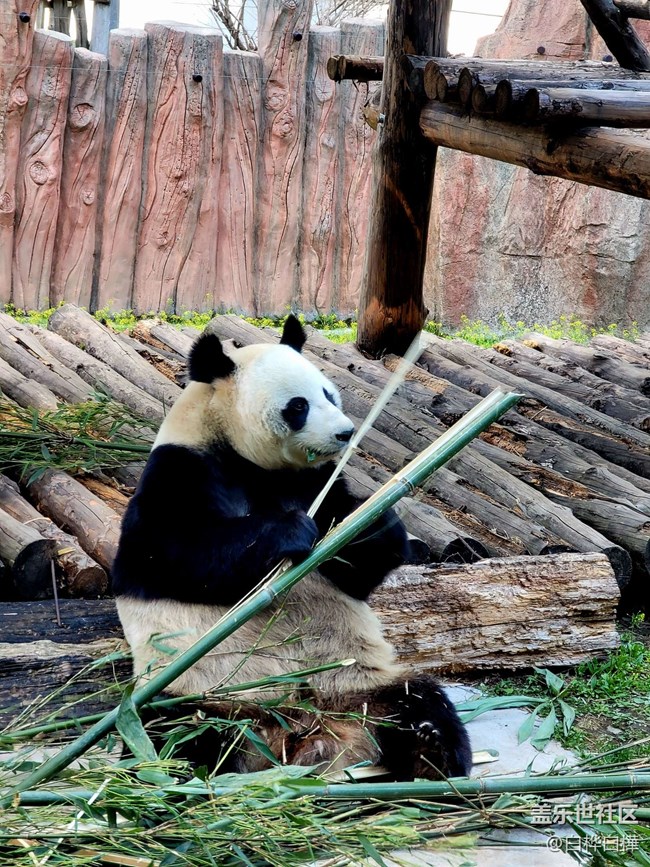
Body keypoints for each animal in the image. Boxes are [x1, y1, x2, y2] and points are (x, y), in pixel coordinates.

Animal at [112, 316, 471, 780]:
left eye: (329, 393)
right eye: (298, 406)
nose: (345, 432)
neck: (248, 461)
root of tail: (301, 736)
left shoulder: (315, 481)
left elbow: (355, 567)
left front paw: (375, 522)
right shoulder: (180, 471)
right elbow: (172, 555)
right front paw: (291, 531)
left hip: (361, 683)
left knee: (419, 698)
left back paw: (431, 750)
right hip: (195, 694)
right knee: (170, 734)